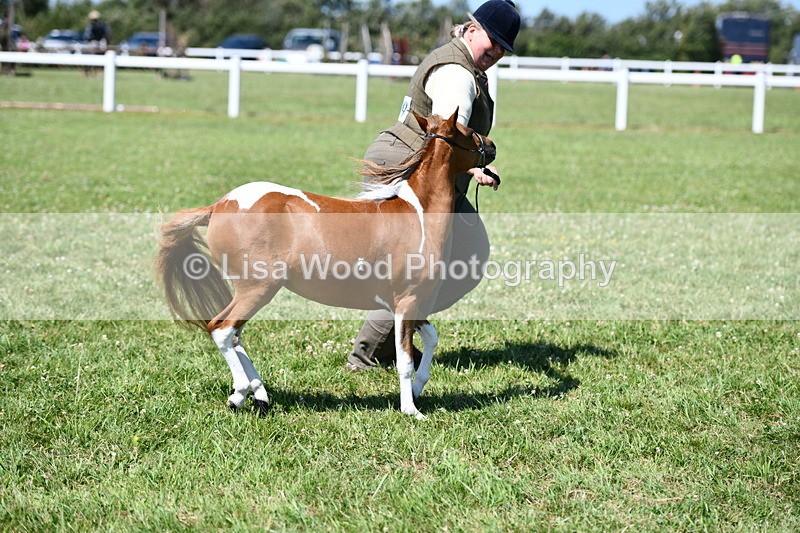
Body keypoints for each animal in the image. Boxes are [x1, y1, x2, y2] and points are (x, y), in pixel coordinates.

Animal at [155, 110, 495, 419]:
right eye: (468, 131)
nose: (491, 146)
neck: (418, 216)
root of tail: (219, 205)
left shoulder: (406, 304)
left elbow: (431, 338)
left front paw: (417, 390)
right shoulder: (406, 301)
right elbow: (405, 360)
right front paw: (411, 410)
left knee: (234, 334)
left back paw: (258, 395)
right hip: (257, 288)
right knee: (222, 329)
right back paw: (240, 393)